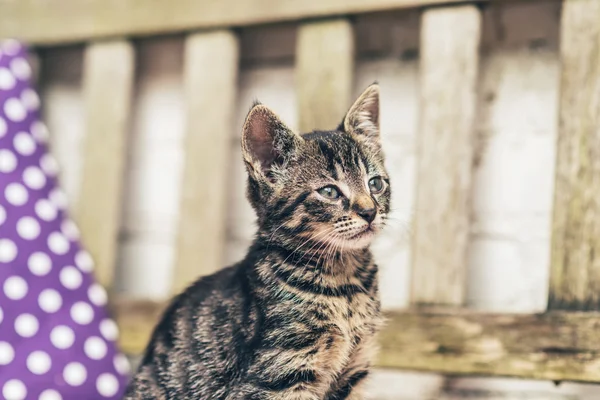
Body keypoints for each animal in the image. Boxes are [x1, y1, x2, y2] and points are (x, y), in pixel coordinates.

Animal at [124, 84, 392, 400]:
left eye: (375, 184)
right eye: (329, 192)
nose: (370, 211)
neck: (346, 282)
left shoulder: (353, 372)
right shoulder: (279, 374)